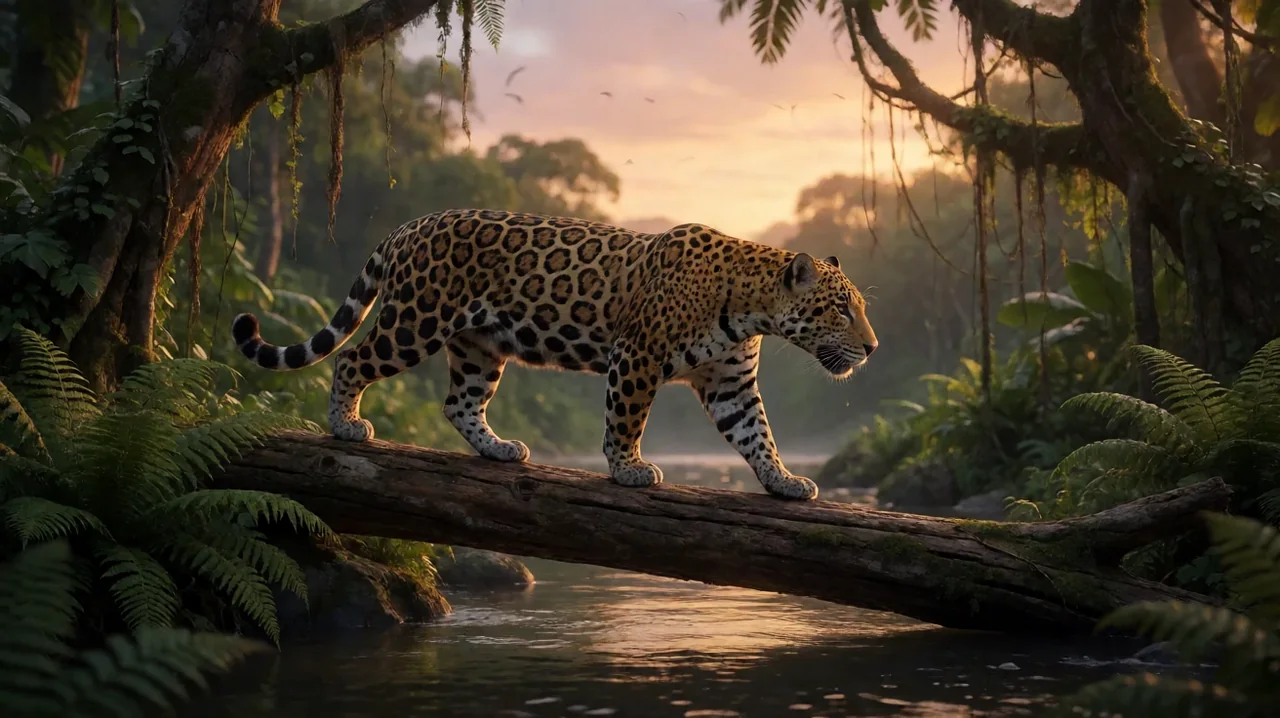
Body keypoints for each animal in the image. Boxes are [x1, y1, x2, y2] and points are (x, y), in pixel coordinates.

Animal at [231, 209, 879, 501]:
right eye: (841, 310)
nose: (872, 348)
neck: (751, 306)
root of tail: (409, 225)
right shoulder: (636, 357)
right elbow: (626, 420)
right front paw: (629, 469)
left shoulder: (730, 383)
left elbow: (757, 434)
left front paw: (785, 480)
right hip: (416, 321)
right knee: (351, 361)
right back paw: (345, 425)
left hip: (480, 346)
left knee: (459, 403)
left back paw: (498, 450)